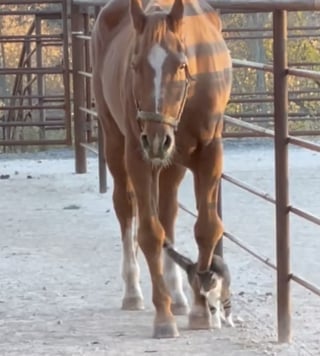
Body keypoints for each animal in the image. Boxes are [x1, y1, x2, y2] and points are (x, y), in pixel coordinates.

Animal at [91, 0, 231, 338]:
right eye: (134, 65)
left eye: (180, 65)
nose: (156, 139)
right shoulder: (138, 157)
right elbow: (150, 234)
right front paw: (164, 317)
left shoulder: (210, 153)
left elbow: (207, 228)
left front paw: (199, 310)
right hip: (116, 143)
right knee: (125, 208)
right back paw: (133, 291)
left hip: (172, 164)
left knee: (168, 211)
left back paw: (178, 295)